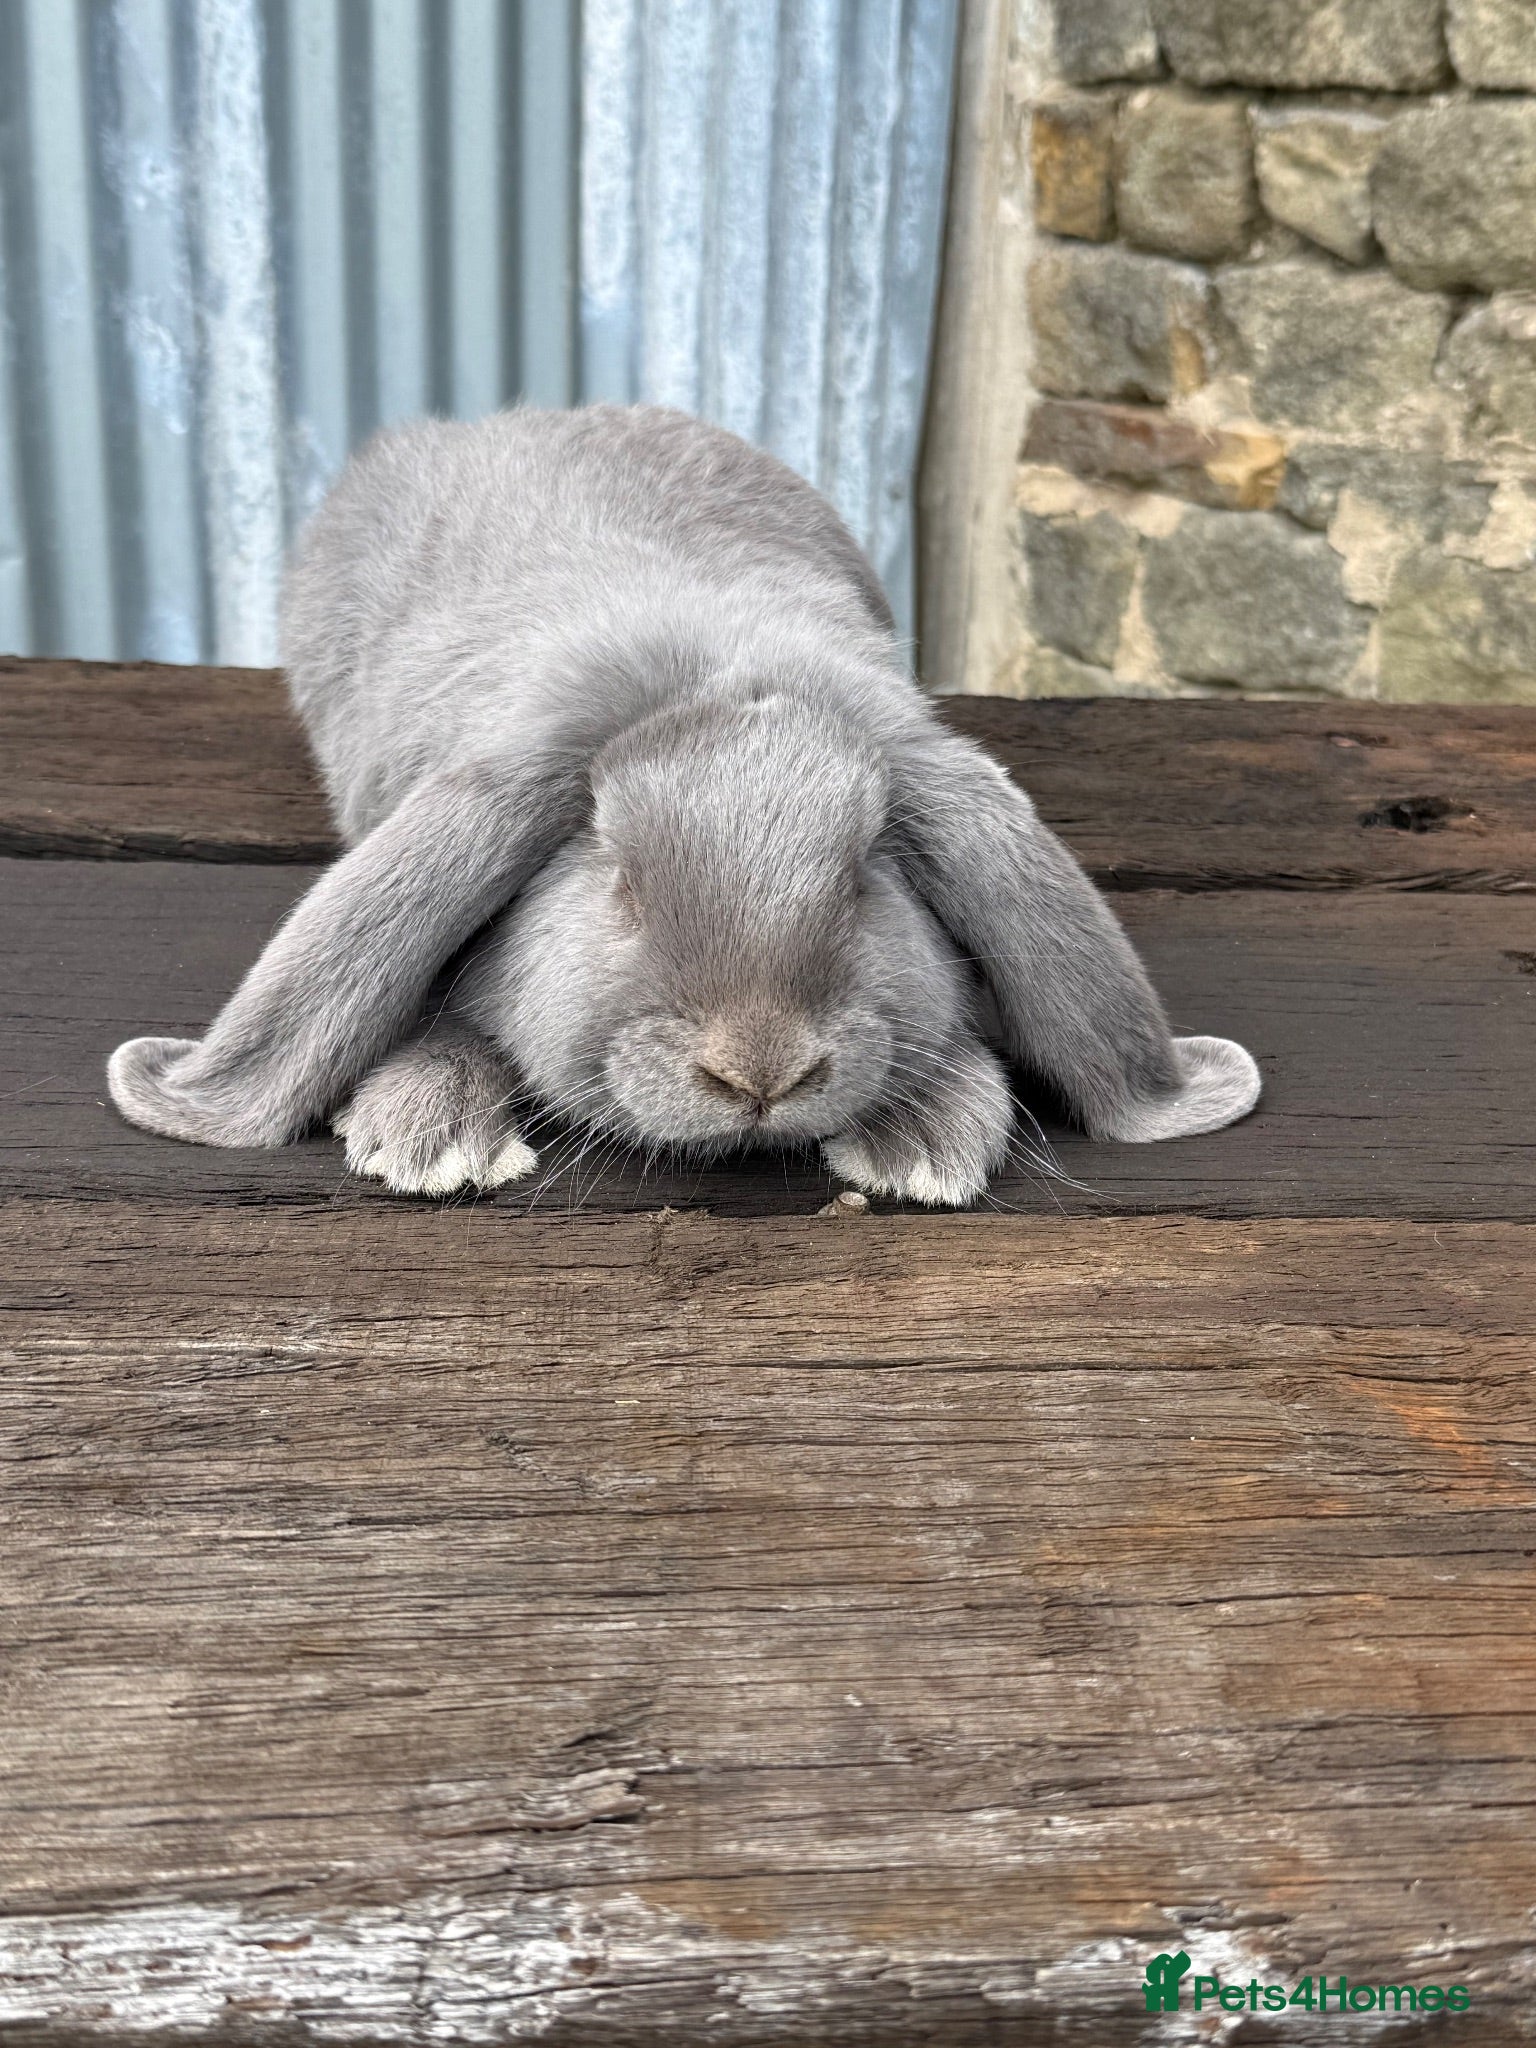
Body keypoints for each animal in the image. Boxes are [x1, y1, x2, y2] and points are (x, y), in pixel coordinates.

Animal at [107, 404, 1260, 1206]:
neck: (708, 667)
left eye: (866, 875)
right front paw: (430, 1134)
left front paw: (927, 1138)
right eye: (617, 877)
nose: (760, 1068)